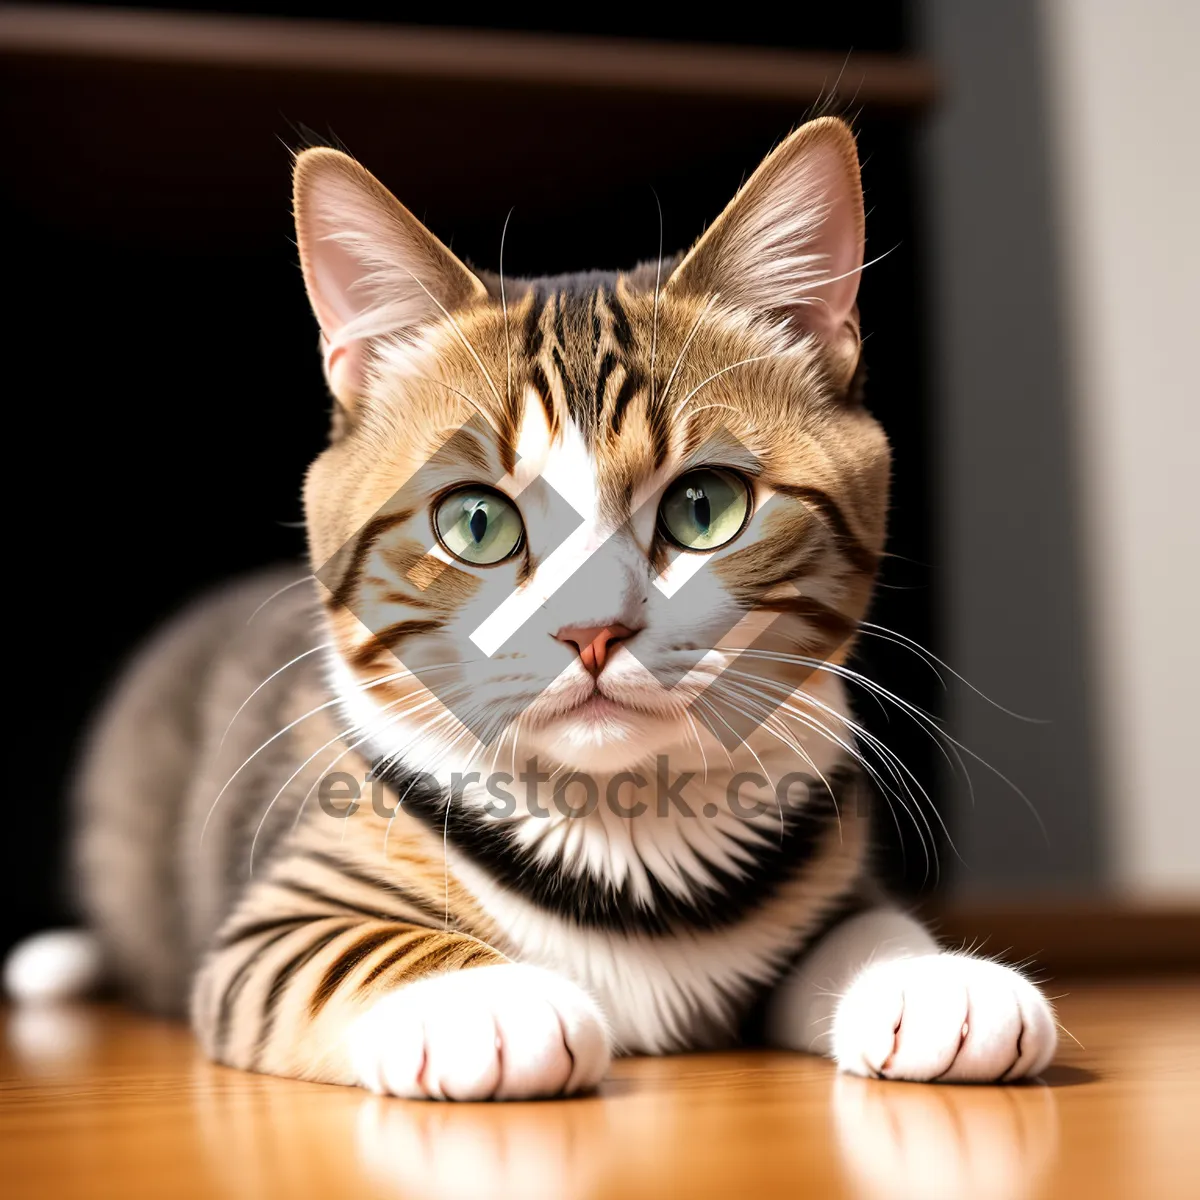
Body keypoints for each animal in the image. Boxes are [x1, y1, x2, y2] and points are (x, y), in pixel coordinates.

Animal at [11, 114, 1060, 1099]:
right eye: (475, 522)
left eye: (705, 507)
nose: (592, 630)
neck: (624, 825)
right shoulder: (280, 913)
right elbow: (347, 946)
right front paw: (482, 997)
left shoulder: (827, 870)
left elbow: (861, 925)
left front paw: (933, 979)